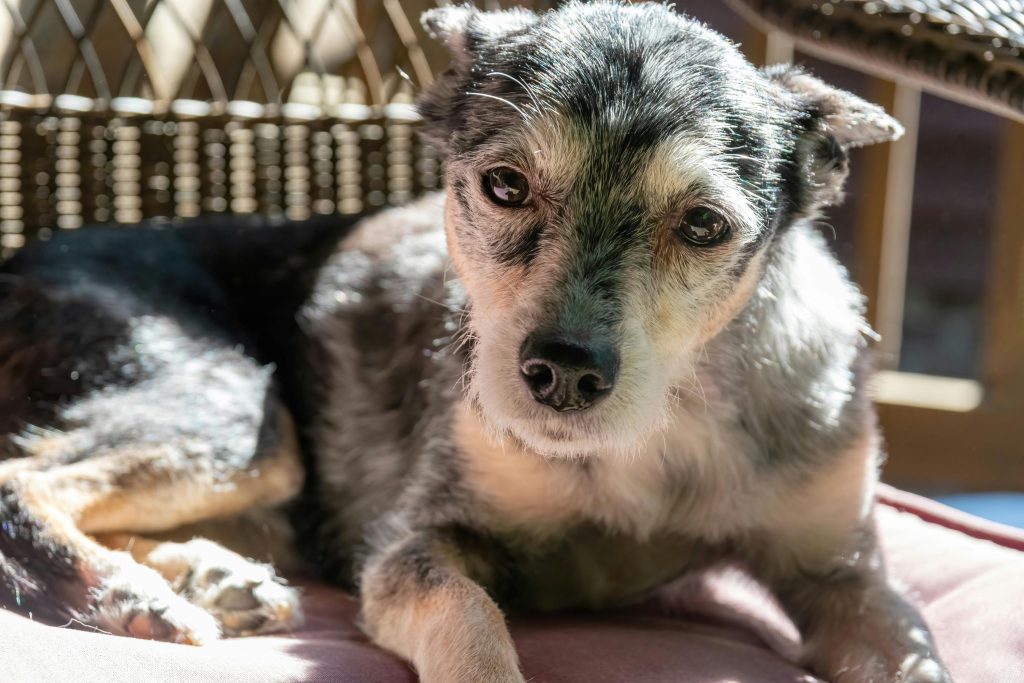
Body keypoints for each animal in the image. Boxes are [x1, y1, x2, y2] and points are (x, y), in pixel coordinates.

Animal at [0, 2, 950, 679]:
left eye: (706, 225)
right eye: (504, 185)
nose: (559, 373)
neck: (656, 433)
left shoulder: (849, 577)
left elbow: (912, 653)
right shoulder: (409, 544)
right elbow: (471, 614)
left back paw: (209, 575)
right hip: (238, 415)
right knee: (24, 478)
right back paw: (136, 594)